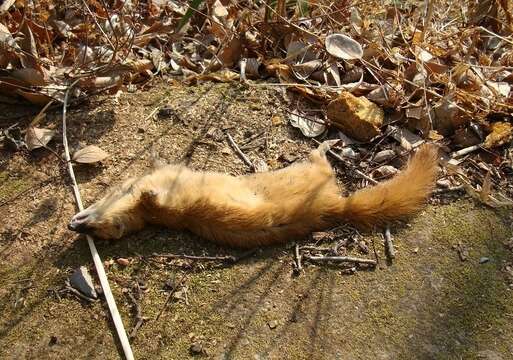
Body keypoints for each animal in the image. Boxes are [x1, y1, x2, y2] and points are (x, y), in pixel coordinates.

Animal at [67, 141, 436, 248]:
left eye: (92, 227)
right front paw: (149, 190)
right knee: (323, 164)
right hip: (314, 175)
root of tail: (336, 207)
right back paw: (326, 145)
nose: (73, 226)